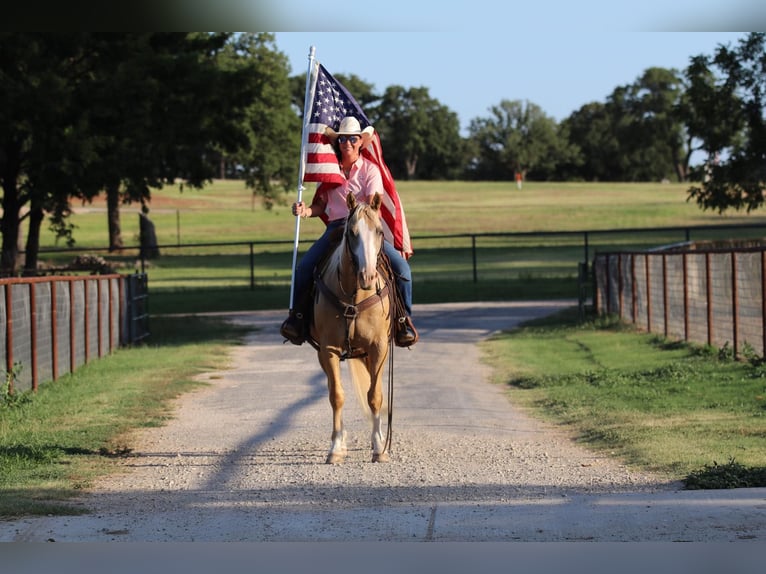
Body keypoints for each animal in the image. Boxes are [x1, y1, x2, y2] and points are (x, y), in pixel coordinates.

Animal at [308, 194, 392, 468]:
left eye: (379, 231)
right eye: (351, 233)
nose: (368, 276)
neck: (355, 296)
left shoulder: (378, 348)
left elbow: (375, 396)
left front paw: (379, 448)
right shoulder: (329, 349)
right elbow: (337, 395)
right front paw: (336, 448)